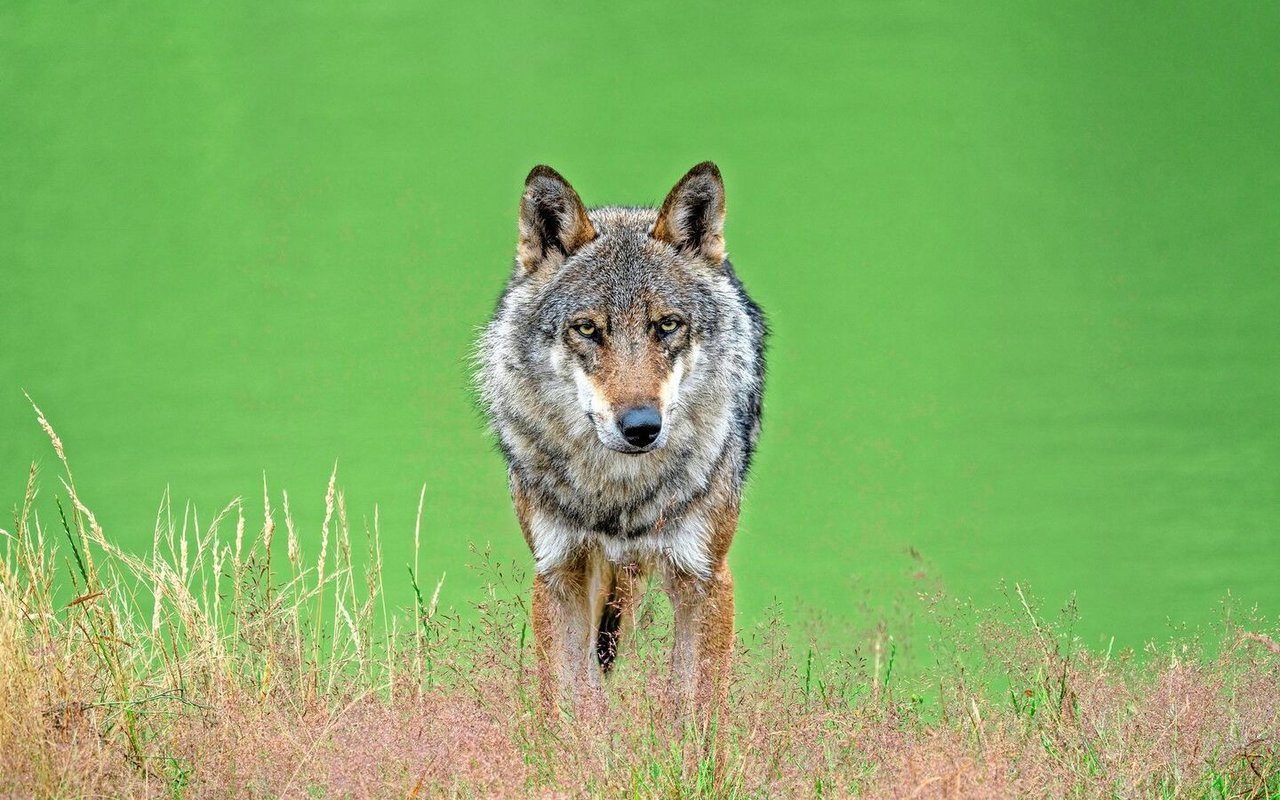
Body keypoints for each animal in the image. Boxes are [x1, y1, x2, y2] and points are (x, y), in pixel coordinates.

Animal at [476, 162, 762, 711]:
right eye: (588, 329)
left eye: (667, 325)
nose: (642, 427)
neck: (620, 496)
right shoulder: (559, 572)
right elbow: (571, 706)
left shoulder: (705, 577)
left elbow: (695, 710)